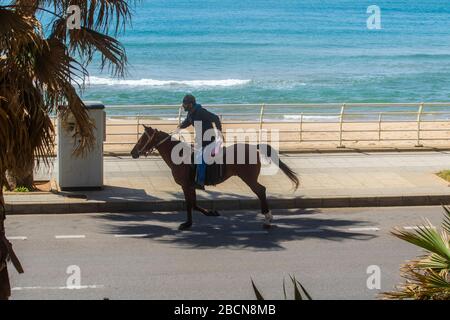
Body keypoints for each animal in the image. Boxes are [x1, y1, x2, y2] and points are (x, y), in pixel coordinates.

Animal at [130, 125, 298, 230]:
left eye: (142, 138)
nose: (133, 152)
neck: (179, 156)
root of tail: (253, 147)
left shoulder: (185, 185)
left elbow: (189, 205)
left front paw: (187, 223)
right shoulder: (191, 186)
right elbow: (194, 204)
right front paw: (210, 213)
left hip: (249, 178)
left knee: (261, 191)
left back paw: (267, 218)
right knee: (261, 191)